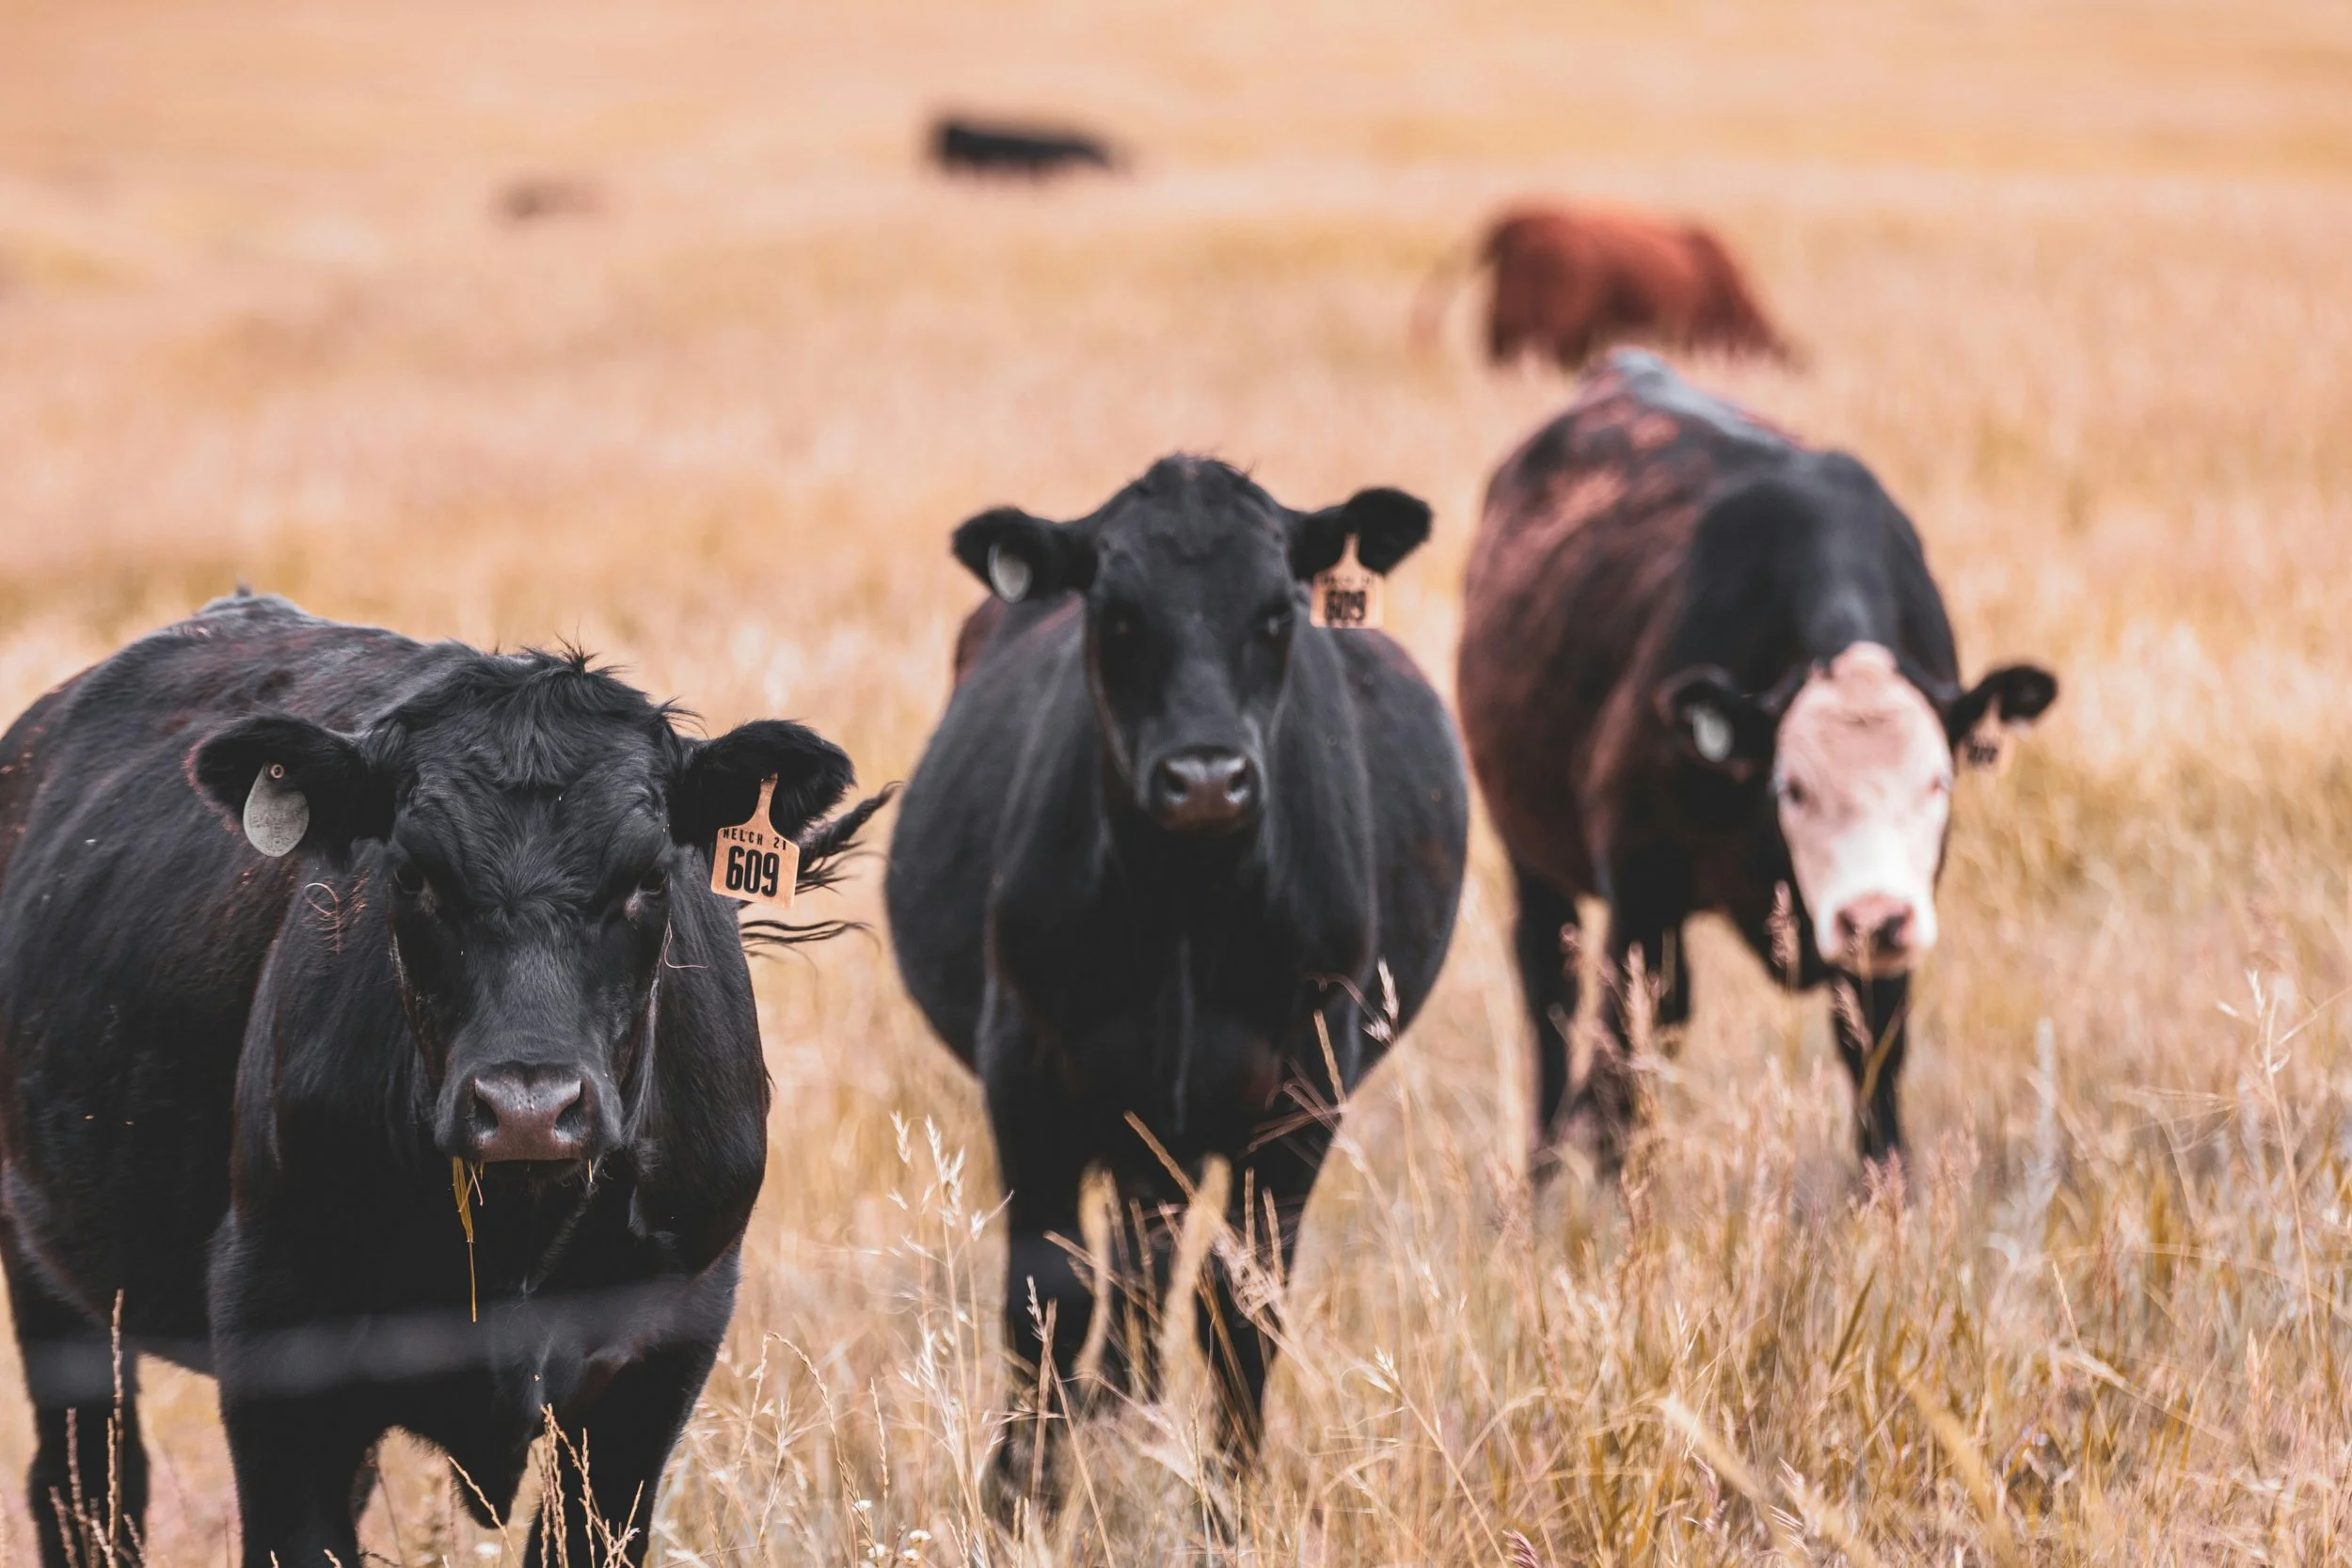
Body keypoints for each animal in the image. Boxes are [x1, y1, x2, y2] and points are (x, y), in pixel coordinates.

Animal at [0, 592, 879, 1568]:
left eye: (650, 877)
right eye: (413, 873)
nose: (529, 1108)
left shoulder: (660, 1353)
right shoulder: (275, 1337)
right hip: (51, 1278)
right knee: (87, 1487)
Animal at [885, 456, 1468, 1506]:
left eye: (1278, 612)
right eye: (1117, 613)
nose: (1203, 778)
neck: (1187, 910)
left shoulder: (1303, 1085)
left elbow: (1242, 1305)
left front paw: (1224, 1507)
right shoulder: (1025, 1063)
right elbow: (1046, 1288)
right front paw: (1020, 1491)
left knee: (1151, 1254)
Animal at [1456, 351, 2055, 1173]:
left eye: (1937, 782)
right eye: (1792, 787)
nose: (1874, 918)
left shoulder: (1888, 948)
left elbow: (1875, 1067)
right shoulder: (1640, 897)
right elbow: (1621, 1065)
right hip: (1534, 860)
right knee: (1554, 1001)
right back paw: (1546, 1170)